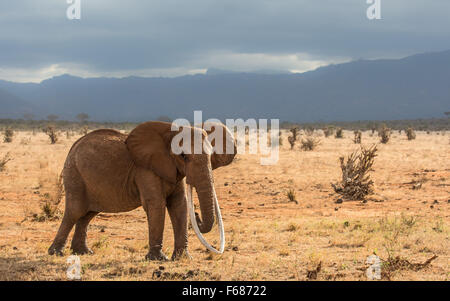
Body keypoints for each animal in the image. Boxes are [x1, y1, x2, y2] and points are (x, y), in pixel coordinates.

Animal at [48, 120, 237, 258]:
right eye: (183, 156)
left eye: (211, 155)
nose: (197, 216)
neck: (170, 132)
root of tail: (73, 146)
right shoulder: (145, 169)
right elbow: (156, 204)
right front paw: (158, 259)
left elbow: (179, 205)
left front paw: (182, 258)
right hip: (74, 175)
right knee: (75, 211)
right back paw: (56, 253)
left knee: (87, 215)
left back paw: (83, 252)